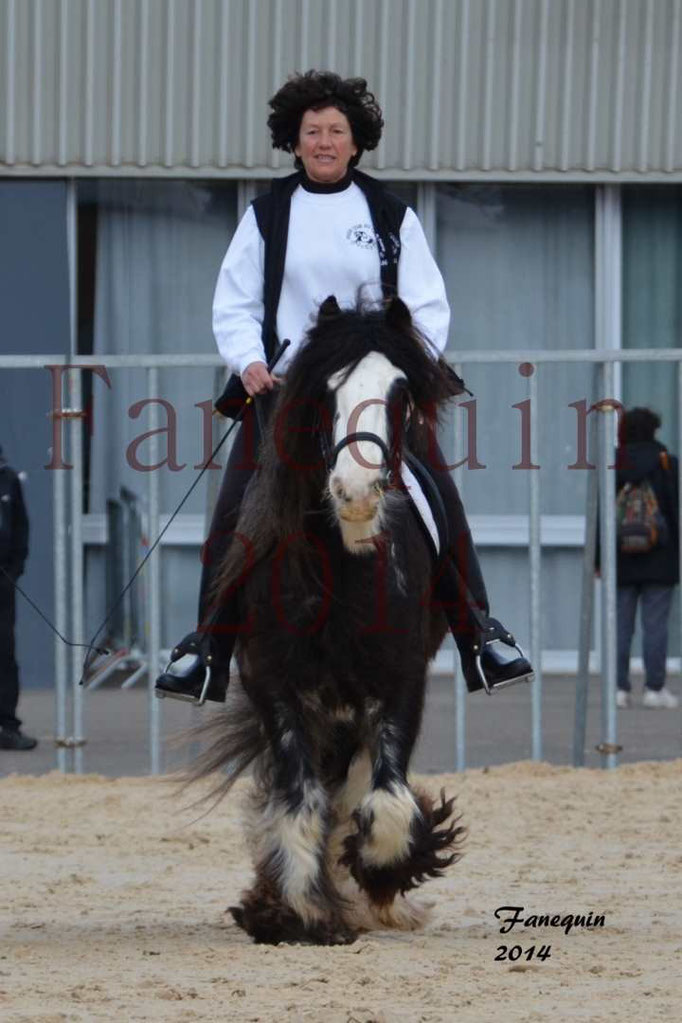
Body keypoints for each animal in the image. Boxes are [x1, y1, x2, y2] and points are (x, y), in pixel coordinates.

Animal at [194, 298, 466, 945]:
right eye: (327, 392)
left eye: (400, 393)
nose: (357, 492)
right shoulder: (274, 683)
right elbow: (299, 800)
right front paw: (300, 912)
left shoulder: (402, 682)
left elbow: (387, 803)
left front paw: (380, 876)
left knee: (357, 783)